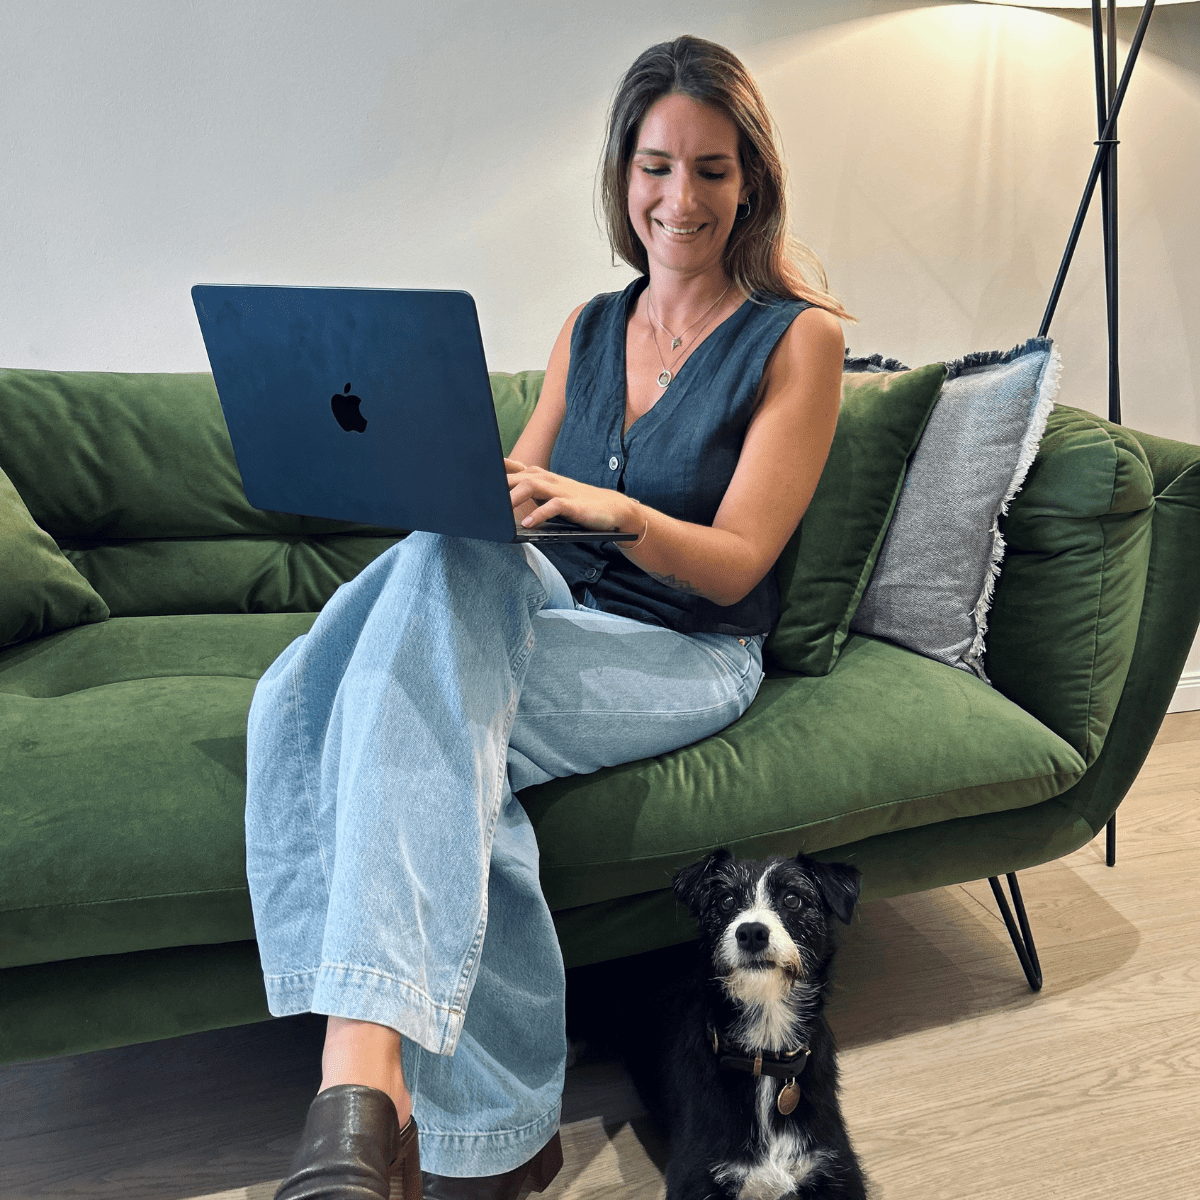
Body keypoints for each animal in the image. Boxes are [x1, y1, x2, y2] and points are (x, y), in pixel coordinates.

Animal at [634, 848, 867, 1200]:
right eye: (726, 901)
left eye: (793, 899)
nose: (752, 932)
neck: (764, 1050)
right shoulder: (695, 1175)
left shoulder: (837, 1165)